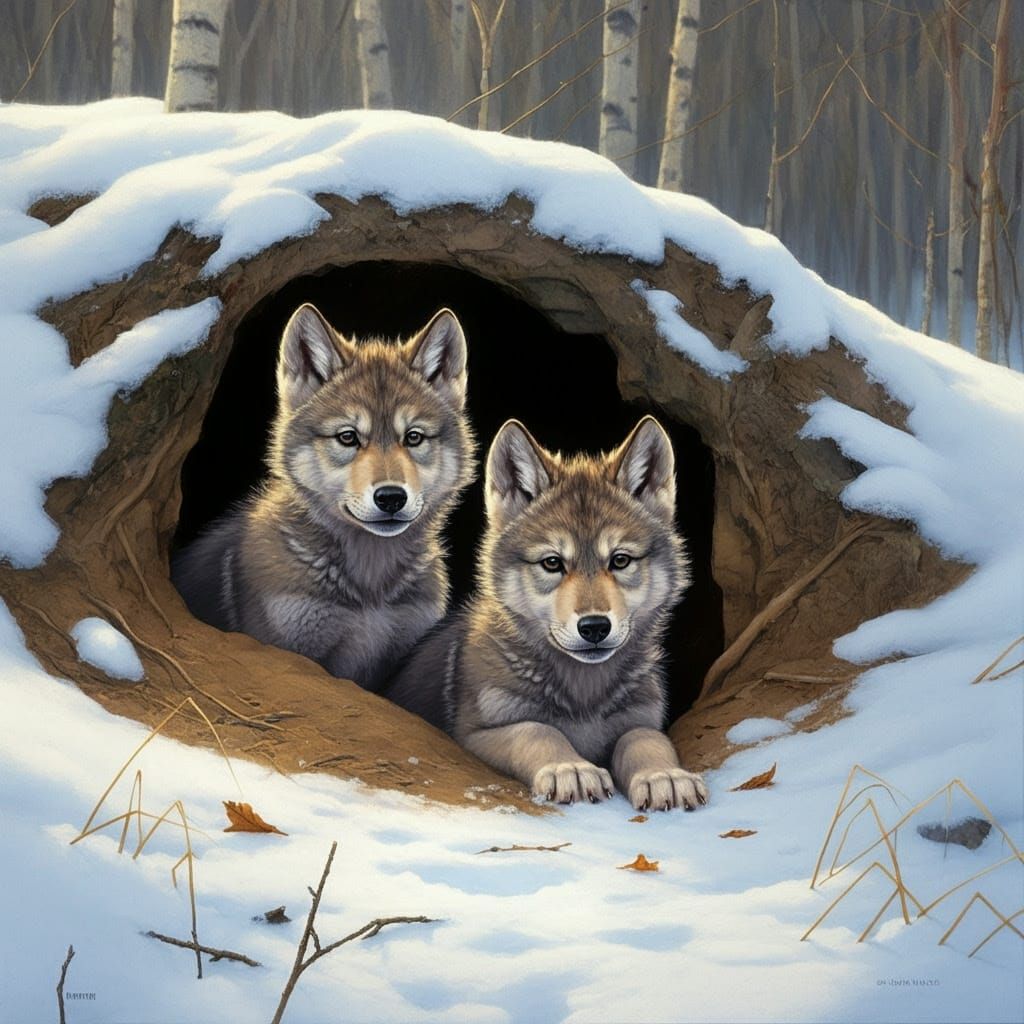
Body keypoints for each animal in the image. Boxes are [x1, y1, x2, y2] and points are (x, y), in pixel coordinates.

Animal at [386, 416, 708, 811]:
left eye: (620, 561)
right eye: (553, 563)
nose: (595, 627)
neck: (583, 693)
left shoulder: (642, 720)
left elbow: (645, 740)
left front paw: (664, 776)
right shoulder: (473, 735)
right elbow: (537, 731)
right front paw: (570, 769)